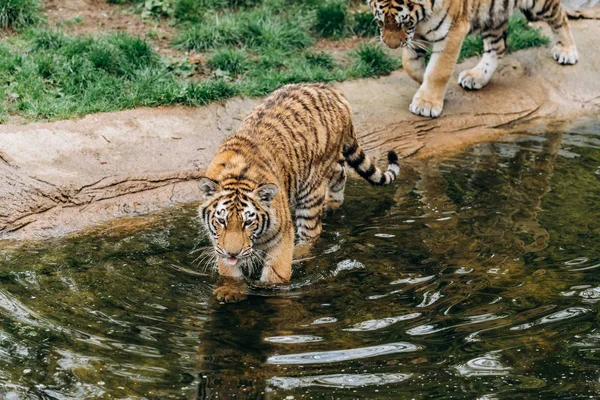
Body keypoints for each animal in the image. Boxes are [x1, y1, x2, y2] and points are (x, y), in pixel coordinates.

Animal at [199, 85, 400, 304]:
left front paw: (269, 290)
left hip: (311, 190)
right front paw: (231, 289)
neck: (237, 174)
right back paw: (332, 203)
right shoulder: (218, 241)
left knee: (313, 233)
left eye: (248, 222)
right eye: (222, 221)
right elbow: (228, 269)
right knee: (340, 172)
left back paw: (299, 251)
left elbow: (276, 273)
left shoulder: (282, 234)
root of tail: (332, 90)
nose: (233, 253)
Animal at [368, 0, 580, 118]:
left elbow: (438, 70)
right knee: (498, 47)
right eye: (380, 22)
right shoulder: (417, 34)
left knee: (560, 16)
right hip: (492, 15)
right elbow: (410, 64)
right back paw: (476, 76)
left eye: (404, 22)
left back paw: (567, 51)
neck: (420, 20)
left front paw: (426, 104)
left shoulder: (452, 30)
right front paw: (426, 87)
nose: (391, 46)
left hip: (538, 4)